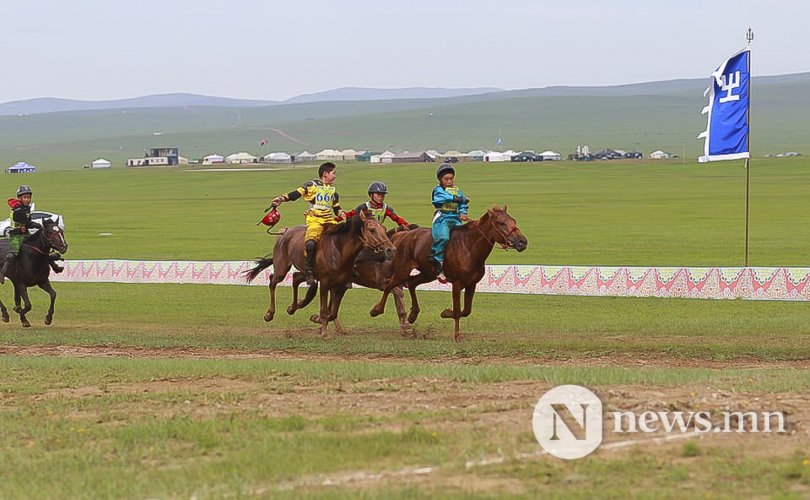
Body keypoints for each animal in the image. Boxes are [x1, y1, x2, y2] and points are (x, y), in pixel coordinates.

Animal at [246, 213, 398, 338]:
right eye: (372, 230)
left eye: (384, 229)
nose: (391, 250)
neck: (340, 250)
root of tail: (284, 232)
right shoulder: (325, 283)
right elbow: (325, 310)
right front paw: (324, 332)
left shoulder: (341, 284)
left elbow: (333, 312)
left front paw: (317, 319)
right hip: (282, 268)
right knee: (273, 281)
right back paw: (269, 314)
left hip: (306, 273)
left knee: (295, 278)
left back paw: (293, 307)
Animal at [370, 206, 528, 340]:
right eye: (501, 223)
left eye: (514, 221)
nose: (522, 242)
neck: (468, 247)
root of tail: (404, 234)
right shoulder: (457, 283)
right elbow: (458, 311)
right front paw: (456, 335)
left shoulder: (472, 284)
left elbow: (466, 310)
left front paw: (446, 313)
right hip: (403, 270)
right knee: (390, 285)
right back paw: (376, 310)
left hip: (428, 273)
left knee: (411, 283)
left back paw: (413, 314)